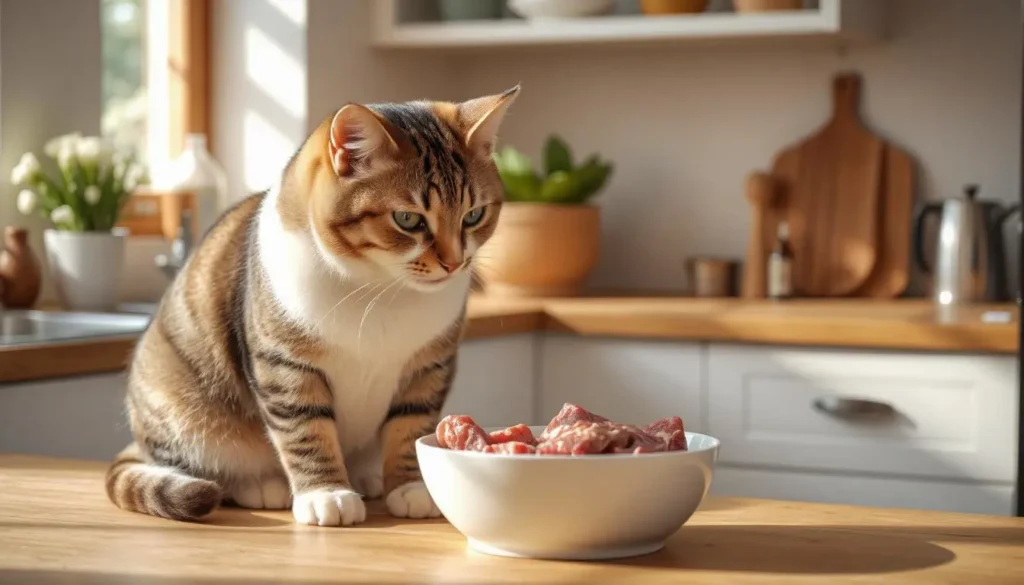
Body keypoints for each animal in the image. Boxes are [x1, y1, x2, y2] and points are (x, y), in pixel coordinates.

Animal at [107, 87, 520, 524]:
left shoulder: (429, 365)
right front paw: (327, 494)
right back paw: (259, 485)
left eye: (474, 215)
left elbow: (411, 424)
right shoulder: (285, 363)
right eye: (408, 219)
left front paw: (410, 487)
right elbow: (305, 429)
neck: (382, 287)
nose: (455, 263)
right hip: (181, 404)